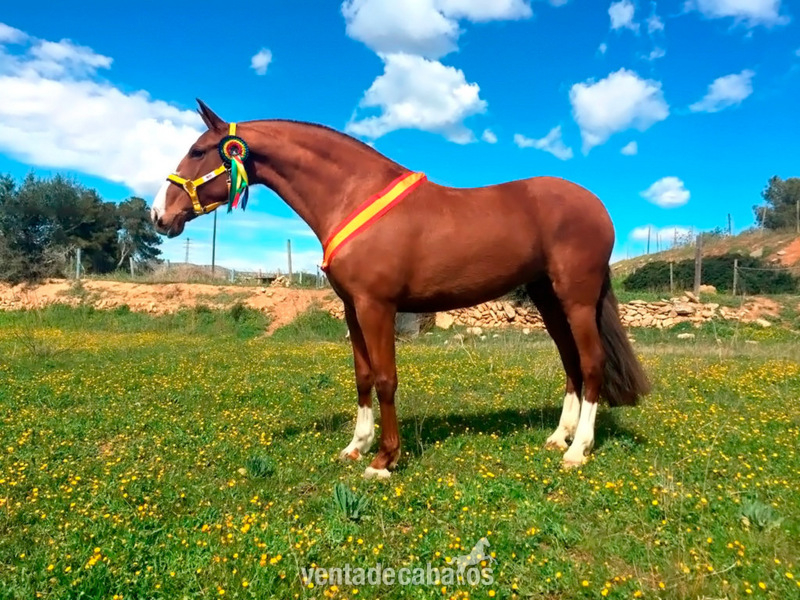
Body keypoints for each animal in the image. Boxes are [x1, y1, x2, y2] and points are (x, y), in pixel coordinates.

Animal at [151, 100, 650, 480]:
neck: (353, 195)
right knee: (570, 364)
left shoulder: (378, 307)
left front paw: (384, 459)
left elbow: (386, 379)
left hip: (576, 298)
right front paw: (356, 445)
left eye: (198, 150)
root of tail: (597, 206)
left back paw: (578, 450)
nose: (160, 215)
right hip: (548, 299)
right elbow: (363, 377)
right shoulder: (352, 308)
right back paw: (558, 437)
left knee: (590, 363)